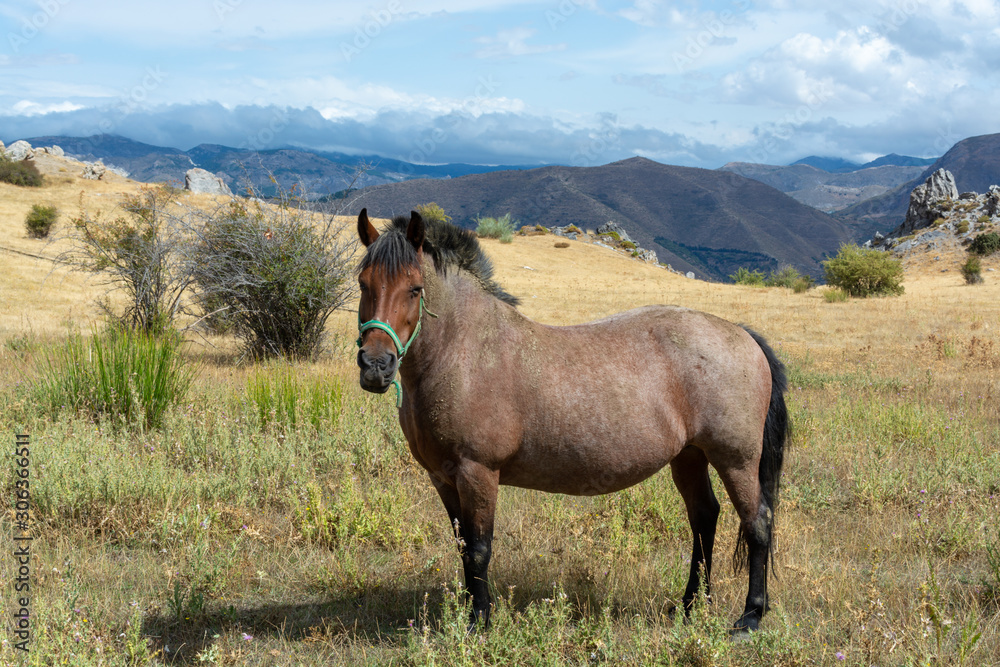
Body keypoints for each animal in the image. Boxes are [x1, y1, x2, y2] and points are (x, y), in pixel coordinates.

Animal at [354, 208, 789, 635]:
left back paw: (750, 615)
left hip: (736, 460)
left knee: (757, 523)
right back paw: (689, 606)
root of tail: (743, 335)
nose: (376, 366)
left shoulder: (477, 472)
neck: (467, 351)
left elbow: (479, 549)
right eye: (363, 283)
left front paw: (479, 621)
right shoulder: (442, 478)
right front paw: (465, 613)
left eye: (414, 288)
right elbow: (462, 547)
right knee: (704, 519)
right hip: (689, 457)